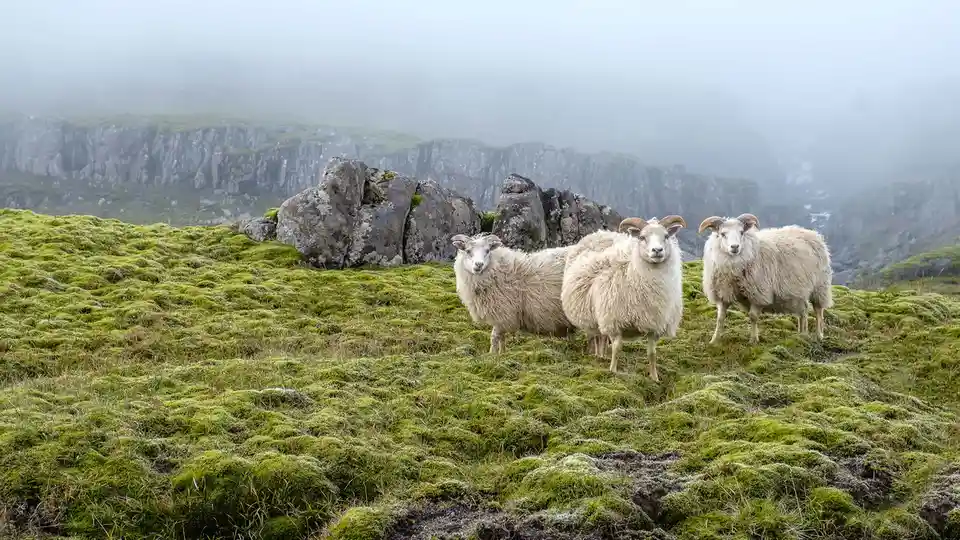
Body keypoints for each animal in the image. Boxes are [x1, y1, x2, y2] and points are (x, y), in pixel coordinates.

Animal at [561, 216, 687, 380]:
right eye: (642, 237)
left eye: (666, 236)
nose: (657, 251)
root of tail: (600, 233)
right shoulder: (615, 321)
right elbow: (617, 348)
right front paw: (613, 371)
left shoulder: (654, 324)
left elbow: (652, 354)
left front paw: (654, 378)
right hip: (596, 315)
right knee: (597, 337)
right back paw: (598, 356)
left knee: (602, 337)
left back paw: (602, 356)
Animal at [697, 213, 834, 345]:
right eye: (722, 234)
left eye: (741, 232)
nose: (735, 247)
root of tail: (813, 234)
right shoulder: (723, 293)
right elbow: (720, 318)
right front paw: (714, 340)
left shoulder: (759, 294)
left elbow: (753, 316)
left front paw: (753, 340)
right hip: (799, 292)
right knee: (803, 311)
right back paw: (802, 334)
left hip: (820, 287)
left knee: (818, 311)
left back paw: (818, 335)